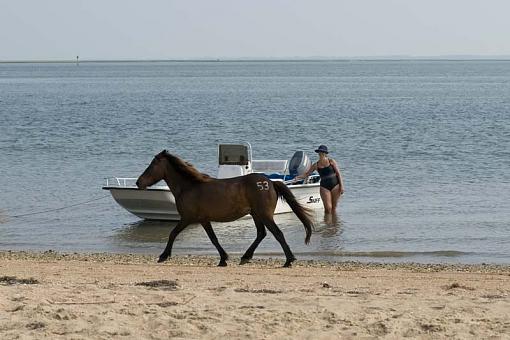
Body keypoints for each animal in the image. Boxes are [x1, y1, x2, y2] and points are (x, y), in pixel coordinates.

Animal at [134, 150, 314, 266]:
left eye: (152, 165)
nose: (138, 182)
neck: (189, 187)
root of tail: (270, 182)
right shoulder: (203, 220)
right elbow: (213, 238)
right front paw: (223, 259)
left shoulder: (187, 218)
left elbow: (173, 233)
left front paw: (163, 256)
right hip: (256, 214)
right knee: (261, 234)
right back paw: (246, 257)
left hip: (264, 214)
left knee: (277, 233)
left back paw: (289, 260)